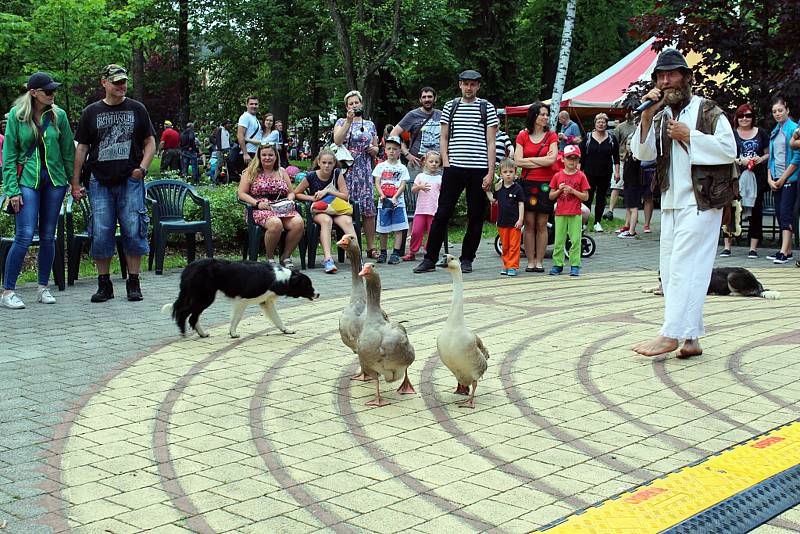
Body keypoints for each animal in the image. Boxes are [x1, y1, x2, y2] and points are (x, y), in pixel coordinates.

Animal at [162, 260, 318, 340]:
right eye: (308, 285)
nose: (318, 294)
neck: (282, 278)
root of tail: (189, 267)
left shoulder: (266, 302)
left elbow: (277, 319)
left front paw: (286, 330)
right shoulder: (243, 300)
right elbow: (236, 318)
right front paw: (232, 333)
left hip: (200, 296)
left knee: (191, 316)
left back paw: (202, 334)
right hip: (205, 297)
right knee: (185, 313)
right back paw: (184, 333)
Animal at [644, 268, 780, 302]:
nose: (659, 278)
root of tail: (758, 283)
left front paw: (659, 291)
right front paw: (647, 288)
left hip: (732, 276)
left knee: (748, 293)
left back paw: (733, 293)